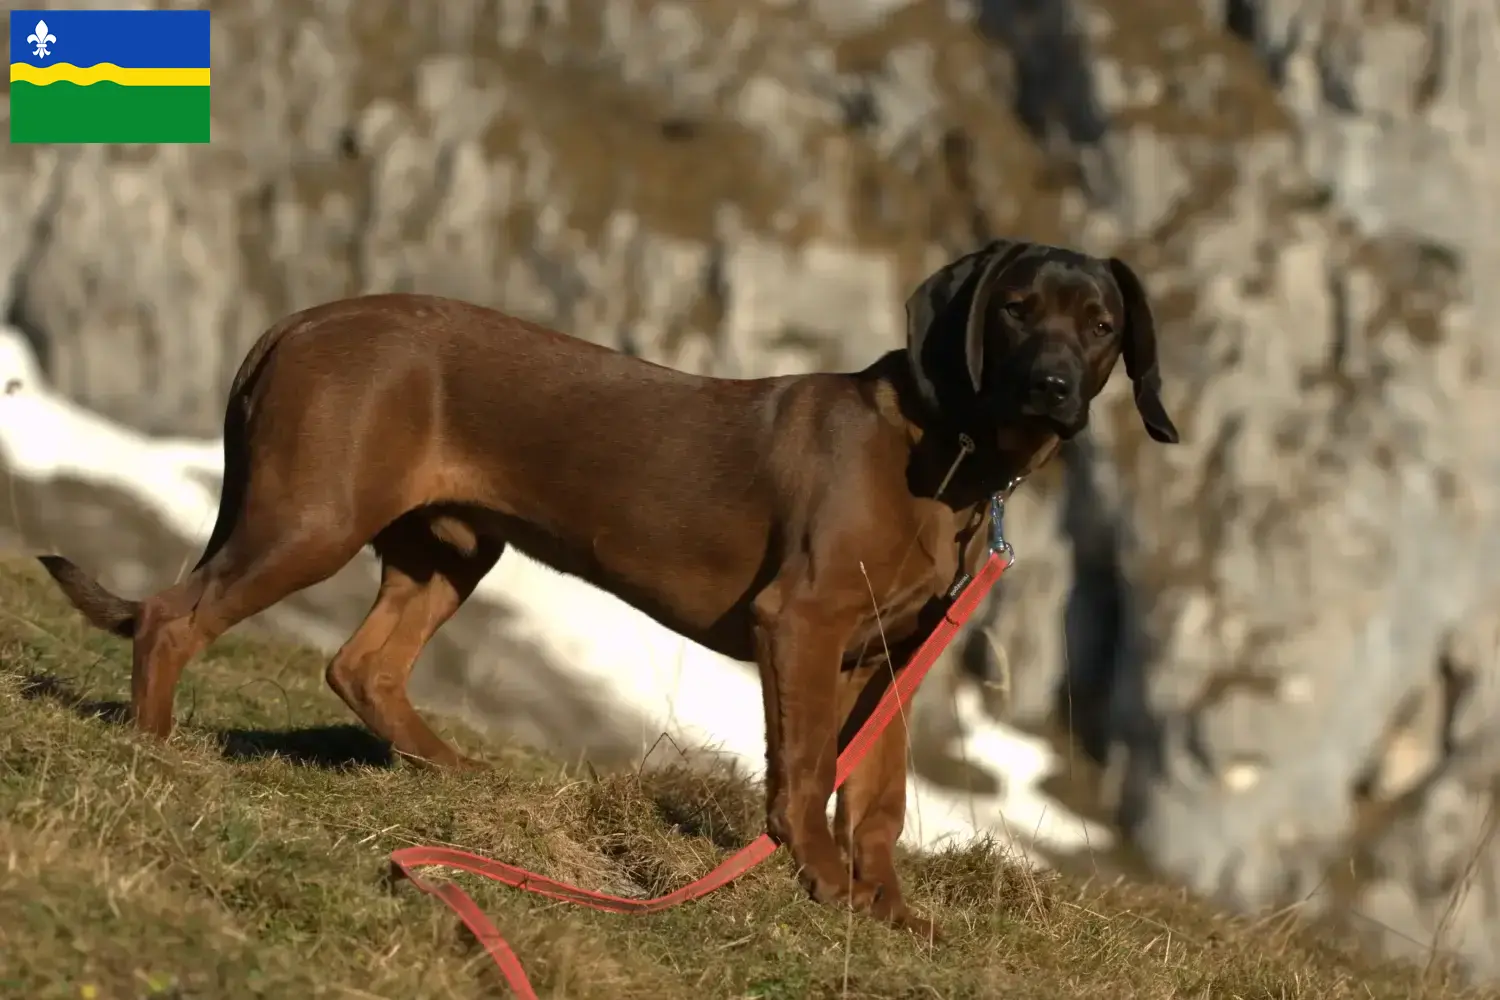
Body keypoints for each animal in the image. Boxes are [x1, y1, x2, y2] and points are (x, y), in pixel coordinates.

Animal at [38, 238, 1170, 935]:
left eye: (1101, 325)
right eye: (1015, 310)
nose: (1053, 389)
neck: (947, 450)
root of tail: (304, 322)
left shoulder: (891, 656)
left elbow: (880, 797)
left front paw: (885, 910)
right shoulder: (801, 625)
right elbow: (808, 772)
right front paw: (818, 878)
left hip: (448, 547)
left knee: (361, 666)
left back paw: (453, 775)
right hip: (309, 518)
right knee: (175, 617)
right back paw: (154, 749)